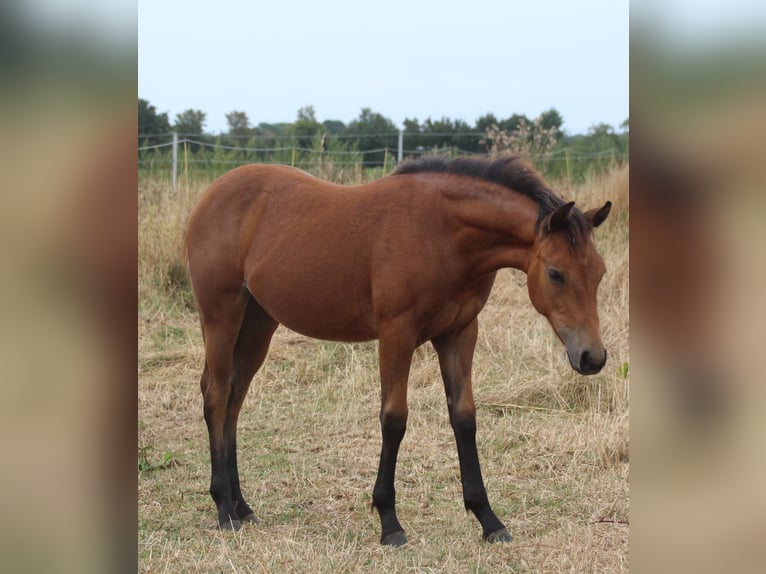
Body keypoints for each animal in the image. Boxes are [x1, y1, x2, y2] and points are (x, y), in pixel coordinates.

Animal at [184, 155, 611, 546]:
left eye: (600, 272)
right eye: (555, 273)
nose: (592, 357)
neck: (442, 233)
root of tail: (210, 195)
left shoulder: (459, 333)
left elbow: (464, 418)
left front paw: (488, 519)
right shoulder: (396, 334)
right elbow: (394, 419)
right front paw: (389, 521)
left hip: (258, 321)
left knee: (235, 398)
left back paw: (242, 505)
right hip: (221, 314)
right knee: (217, 395)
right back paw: (224, 509)